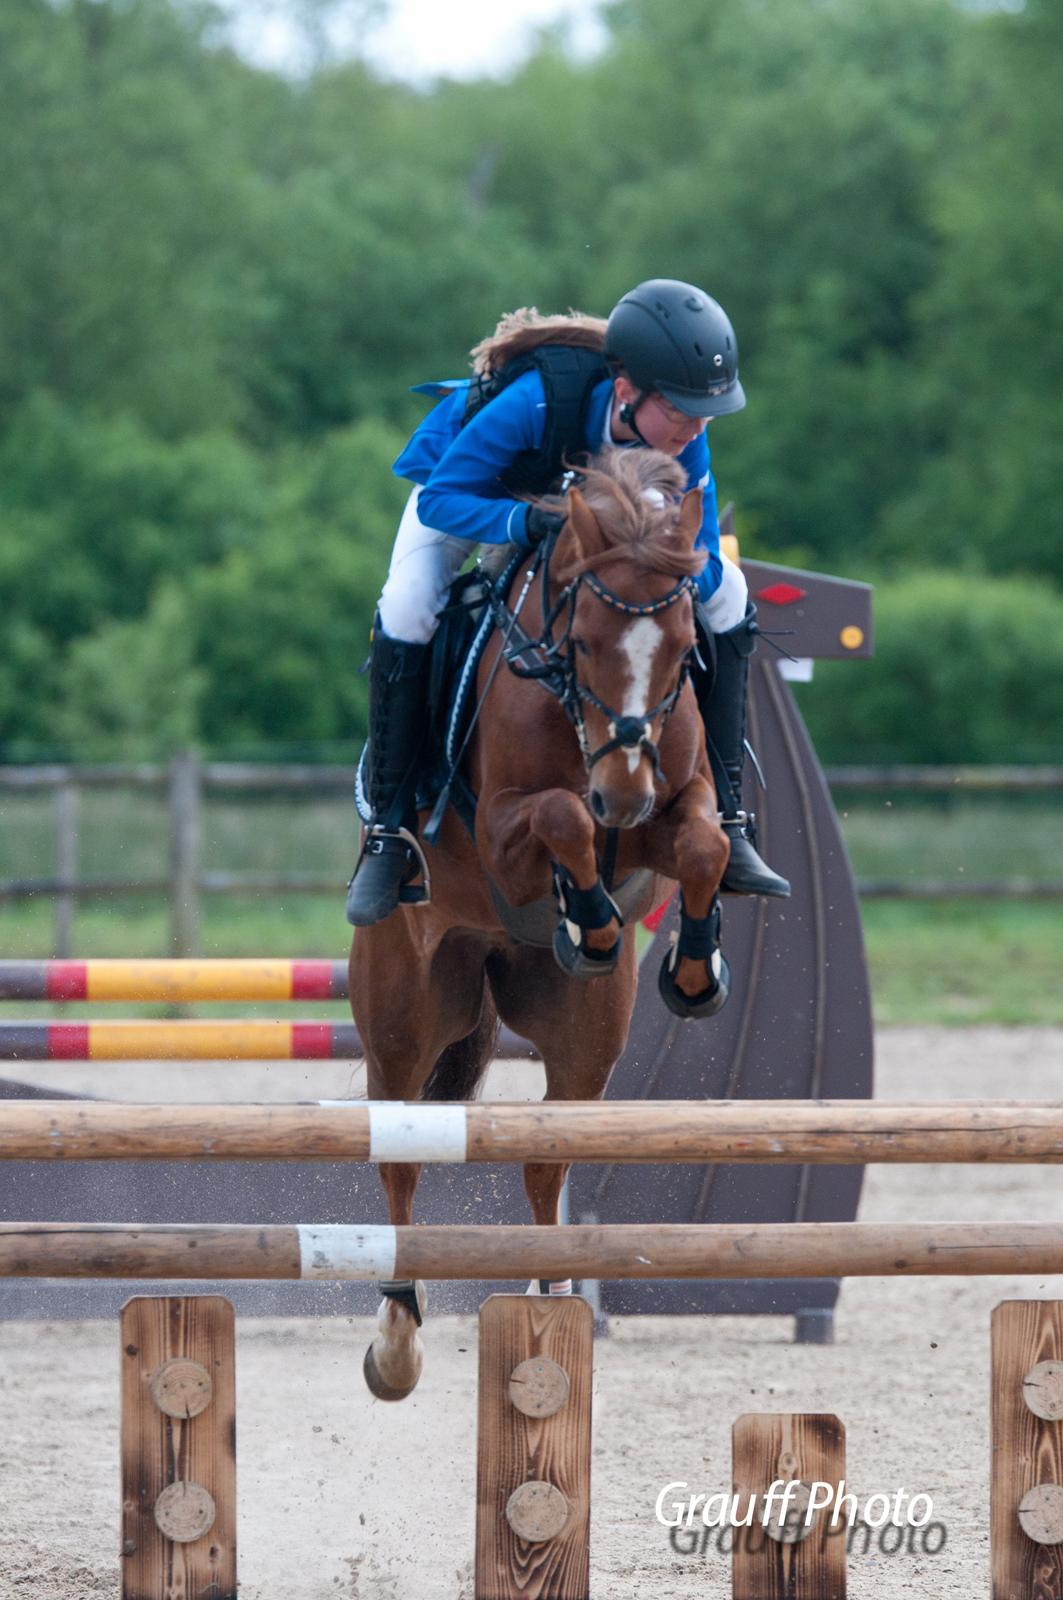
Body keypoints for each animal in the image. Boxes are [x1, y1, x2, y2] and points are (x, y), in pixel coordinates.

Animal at [349, 447, 731, 1401]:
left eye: (684, 650)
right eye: (584, 640)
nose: (621, 796)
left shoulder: (674, 806)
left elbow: (704, 842)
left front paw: (692, 965)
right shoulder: (502, 826)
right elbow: (559, 817)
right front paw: (586, 914)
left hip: (582, 1039)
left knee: (546, 1157)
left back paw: (551, 1302)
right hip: (404, 1018)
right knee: (400, 1157)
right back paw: (396, 1341)